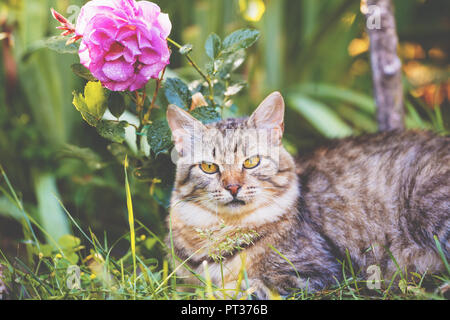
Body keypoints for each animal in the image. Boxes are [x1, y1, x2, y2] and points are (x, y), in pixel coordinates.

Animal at [166, 91, 450, 298]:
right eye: (209, 167)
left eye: (251, 162)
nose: (233, 187)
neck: (223, 231)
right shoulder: (184, 279)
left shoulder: (320, 271)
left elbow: (251, 285)